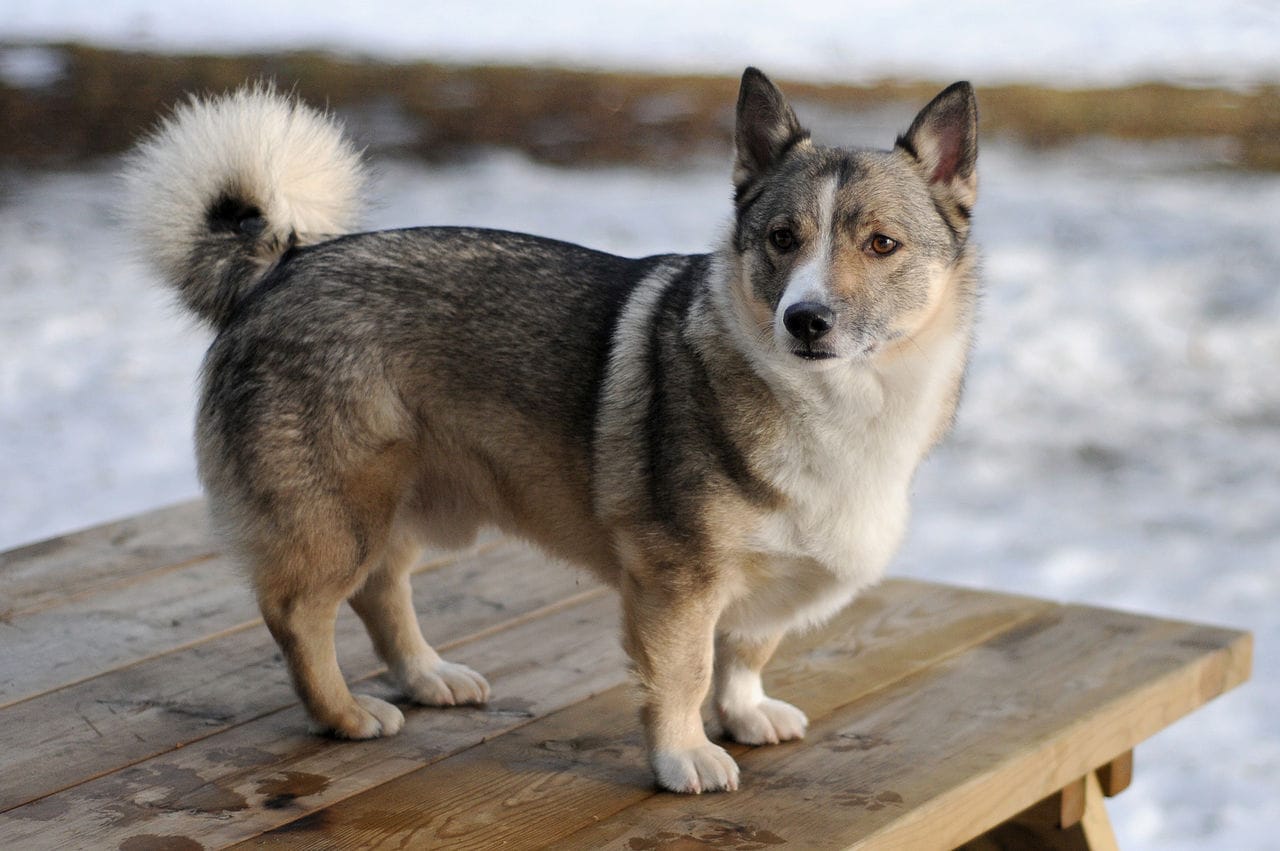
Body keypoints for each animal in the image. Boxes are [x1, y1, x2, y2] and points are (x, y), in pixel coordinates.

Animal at [122, 69, 977, 793]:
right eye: (781, 239)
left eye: (881, 244)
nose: (804, 319)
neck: (838, 401)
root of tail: (281, 265)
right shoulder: (677, 580)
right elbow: (685, 672)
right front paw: (683, 754)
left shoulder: (756, 582)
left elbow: (746, 648)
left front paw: (743, 712)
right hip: (339, 515)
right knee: (300, 613)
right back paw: (345, 714)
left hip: (400, 504)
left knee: (381, 589)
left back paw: (427, 674)